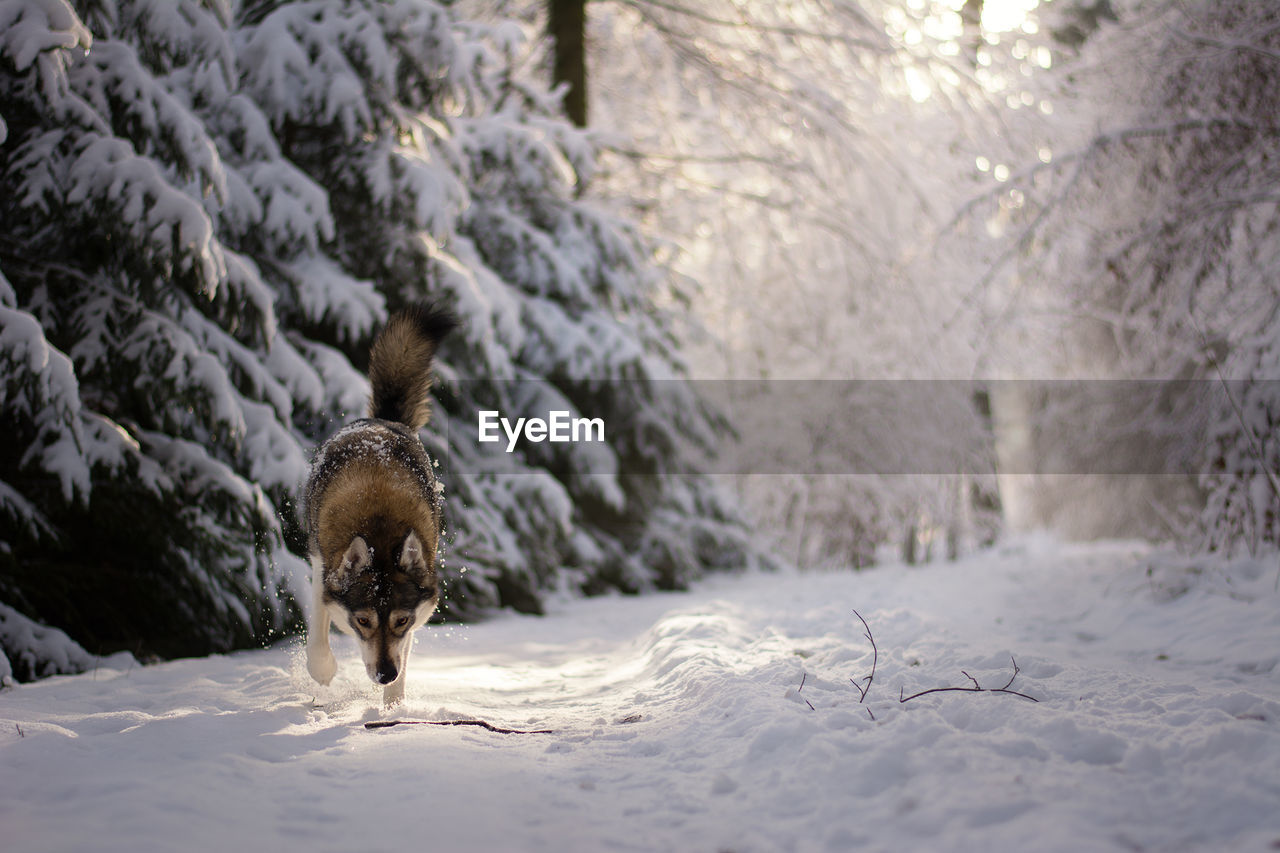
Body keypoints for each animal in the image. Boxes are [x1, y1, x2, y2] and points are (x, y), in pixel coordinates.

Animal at [304, 302, 455, 701]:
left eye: (401, 620)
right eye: (363, 621)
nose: (385, 674)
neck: (379, 523)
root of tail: (382, 419)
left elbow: (404, 660)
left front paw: (392, 709)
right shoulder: (320, 567)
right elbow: (317, 635)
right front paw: (323, 671)